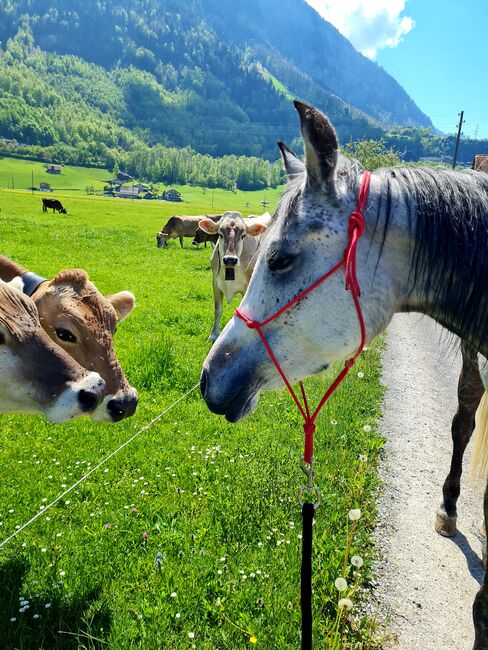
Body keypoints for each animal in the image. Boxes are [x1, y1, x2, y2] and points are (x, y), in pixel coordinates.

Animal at [199, 211, 274, 342]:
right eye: (220, 234)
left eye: (243, 235)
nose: (230, 259)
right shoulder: (215, 283)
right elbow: (217, 309)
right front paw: (214, 334)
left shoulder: (247, 287)